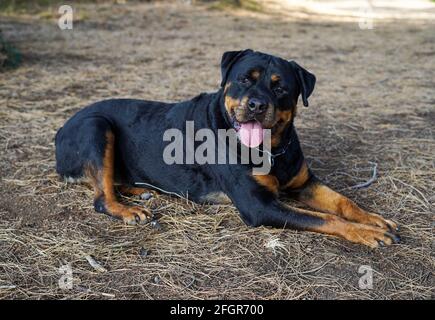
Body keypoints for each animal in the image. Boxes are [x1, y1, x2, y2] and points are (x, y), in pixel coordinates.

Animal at [55, 49, 402, 248]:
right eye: (244, 79)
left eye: (280, 87)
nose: (257, 104)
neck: (271, 150)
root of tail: (60, 130)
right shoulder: (259, 206)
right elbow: (324, 218)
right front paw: (367, 233)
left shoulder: (304, 183)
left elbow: (343, 202)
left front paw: (373, 220)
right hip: (96, 126)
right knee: (101, 197)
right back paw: (128, 209)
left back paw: (139, 190)